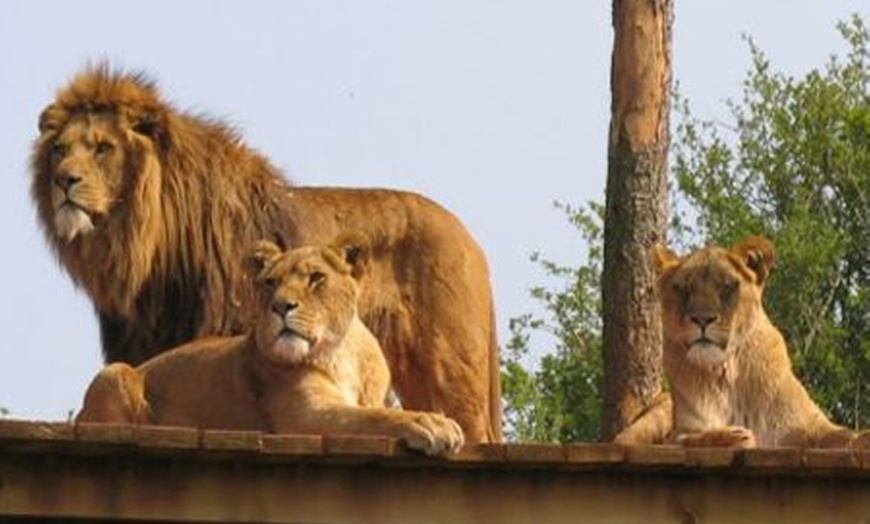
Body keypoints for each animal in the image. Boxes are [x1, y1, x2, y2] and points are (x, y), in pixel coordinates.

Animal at [78, 236, 466, 454]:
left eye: (316, 278)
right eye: (270, 283)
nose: (281, 306)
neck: (341, 354)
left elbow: (374, 410)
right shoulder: (305, 417)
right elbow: (372, 418)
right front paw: (431, 424)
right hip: (114, 373)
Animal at [620, 235, 870, 448]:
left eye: (727, 287)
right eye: (684, 289)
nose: (702, 319)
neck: (727, 373)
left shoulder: (809, 424)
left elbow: (844, 435)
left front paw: (862, 439)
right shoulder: (681, 431)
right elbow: (687, 439)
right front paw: (732, 436)